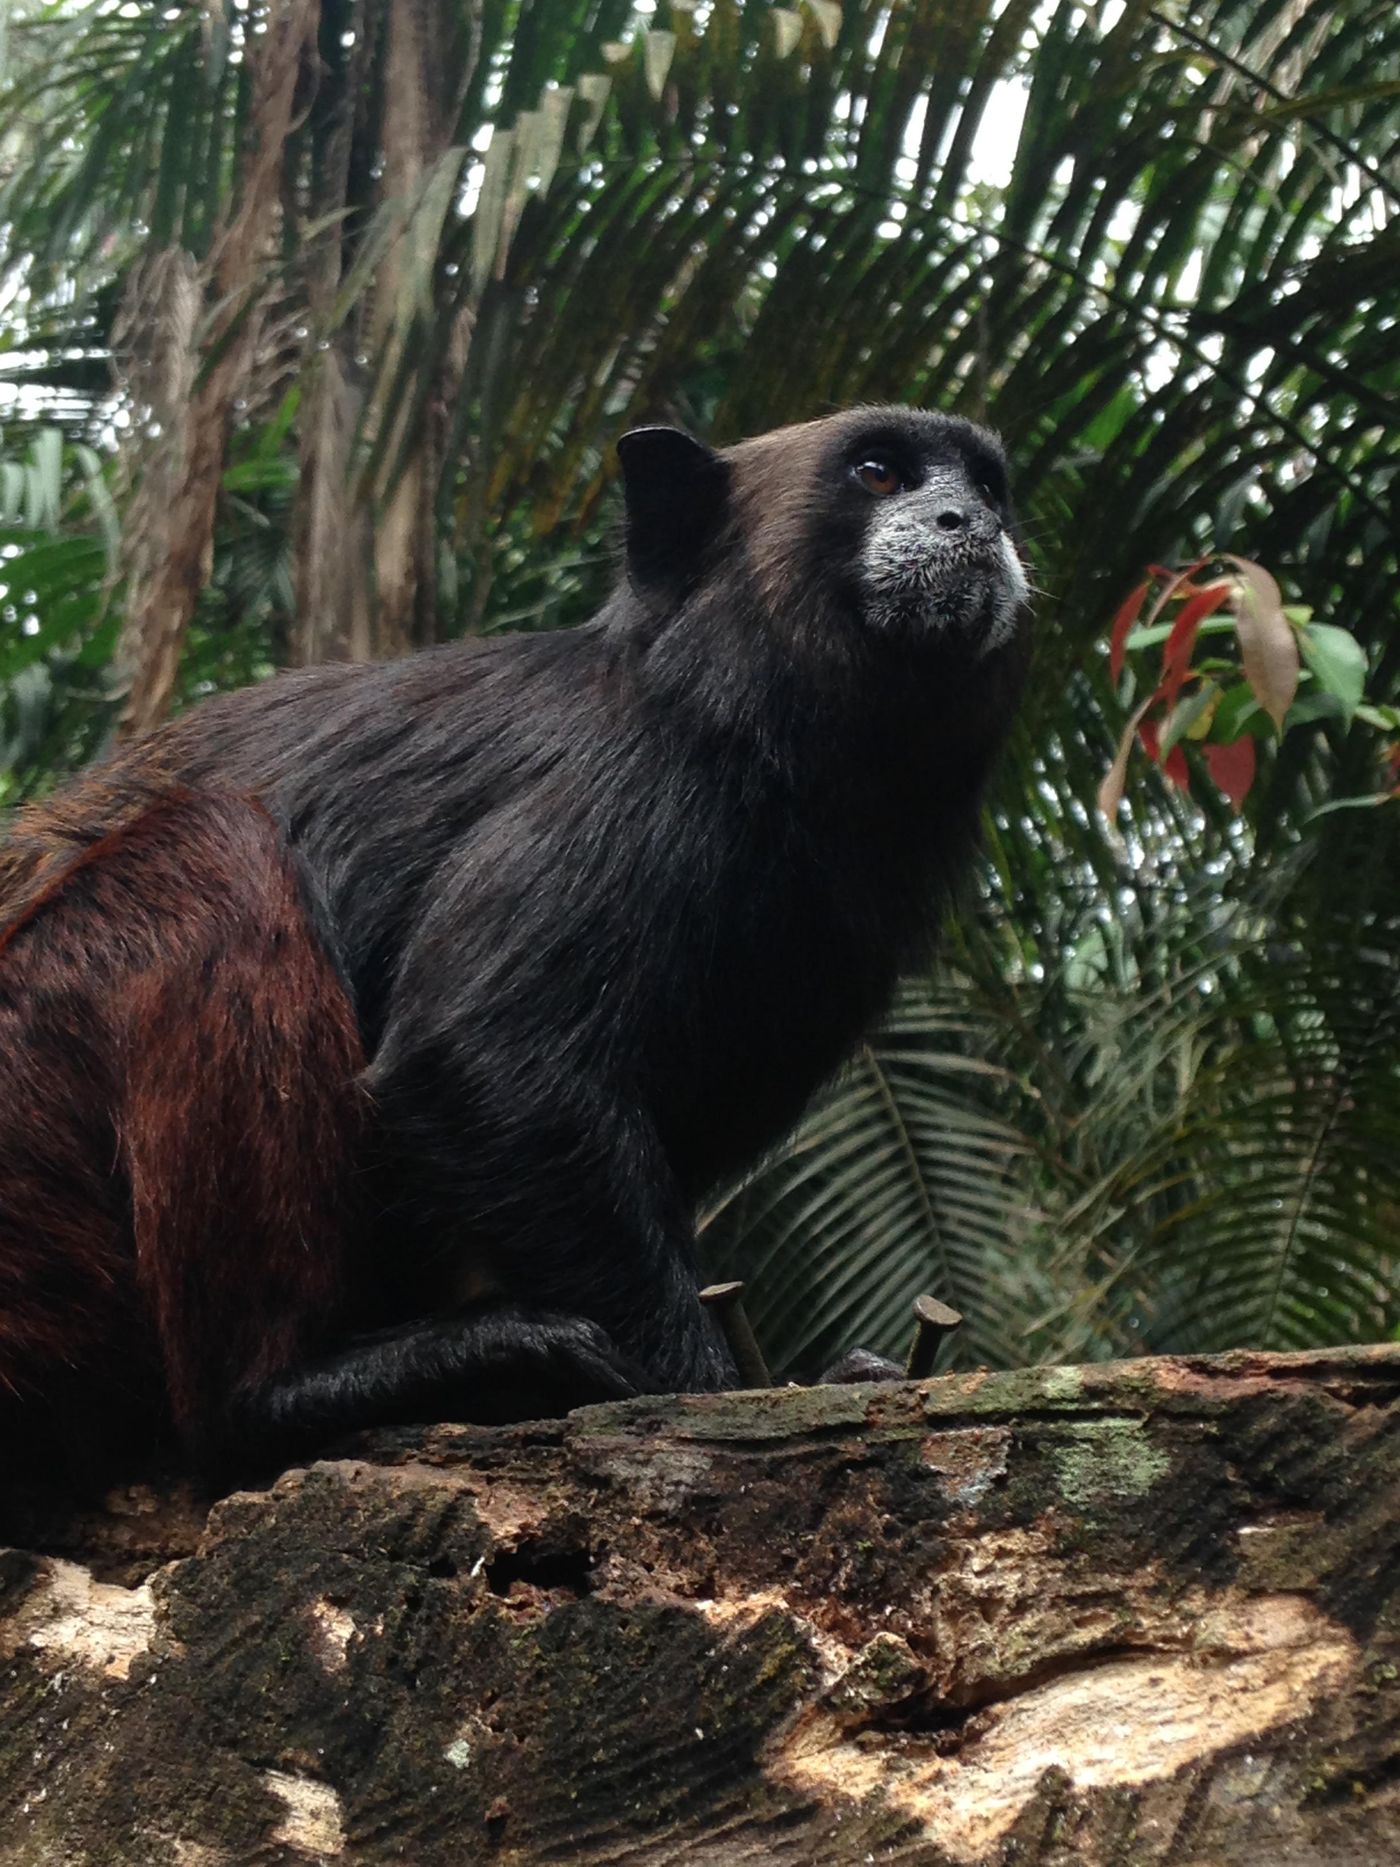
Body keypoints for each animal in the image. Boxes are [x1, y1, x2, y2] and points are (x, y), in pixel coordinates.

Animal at [0, 401, 1030, 1478]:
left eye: (987, 487)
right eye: (878, 473)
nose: (969, 523)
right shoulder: (628, 785)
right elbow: (480, 1056)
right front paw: (713, 1388)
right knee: (208, 849)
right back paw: (293, 1390)